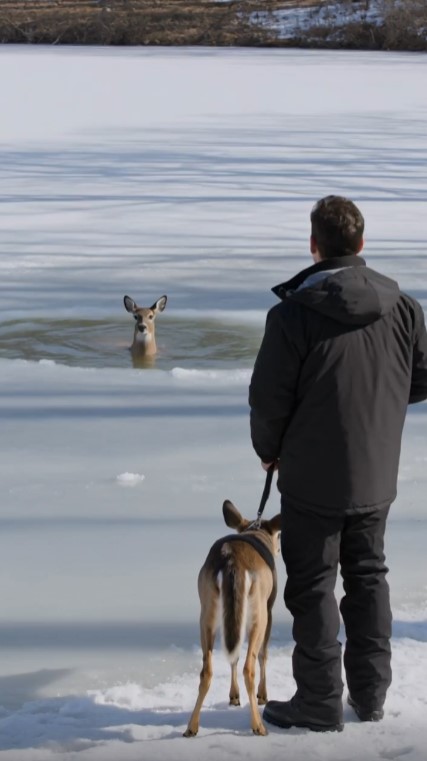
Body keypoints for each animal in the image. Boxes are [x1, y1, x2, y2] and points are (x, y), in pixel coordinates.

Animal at [183, 500, 282, 738]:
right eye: (280, 536)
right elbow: (264, 653)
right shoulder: (269, 608)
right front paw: (263, 695)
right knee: (250, 665)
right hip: (258, 611)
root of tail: (231, 563)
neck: (256, 531)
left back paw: (191, 727)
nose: (279, 549)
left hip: (207, 608)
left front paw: (233, 696)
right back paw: (258, 726)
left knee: (207, 670)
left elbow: (232, 655)